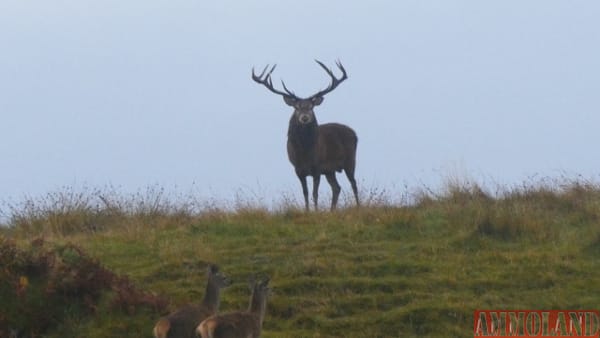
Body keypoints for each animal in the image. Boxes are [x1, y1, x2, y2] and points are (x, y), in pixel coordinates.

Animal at [251, 59, 358, 210]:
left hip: (350, 160)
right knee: (337, 188)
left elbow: (315, 194)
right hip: (330, 170)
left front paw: (316, 211)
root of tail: (354, 133)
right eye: (296, 107)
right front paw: (307, 211)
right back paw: (332, 210)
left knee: (353, 184)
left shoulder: (317, 167)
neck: (304, 153)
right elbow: (305, 193)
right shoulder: (298, 170)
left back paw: (359, 206)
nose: (305, 117)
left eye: (311, 107)